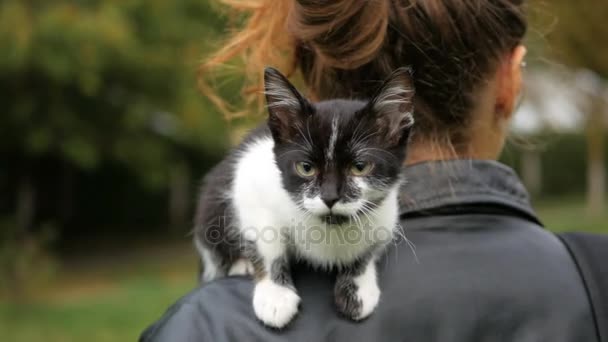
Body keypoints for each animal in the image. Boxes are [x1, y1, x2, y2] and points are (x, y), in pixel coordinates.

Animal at [194, 67, 414, 328]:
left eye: (360, 167)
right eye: (306, 168)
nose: (330, 197)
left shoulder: (386, 214)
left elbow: (369, 249)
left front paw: (357, 288)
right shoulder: (249, 183)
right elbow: (267, 243)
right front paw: (275, 295)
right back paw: (241, 264)